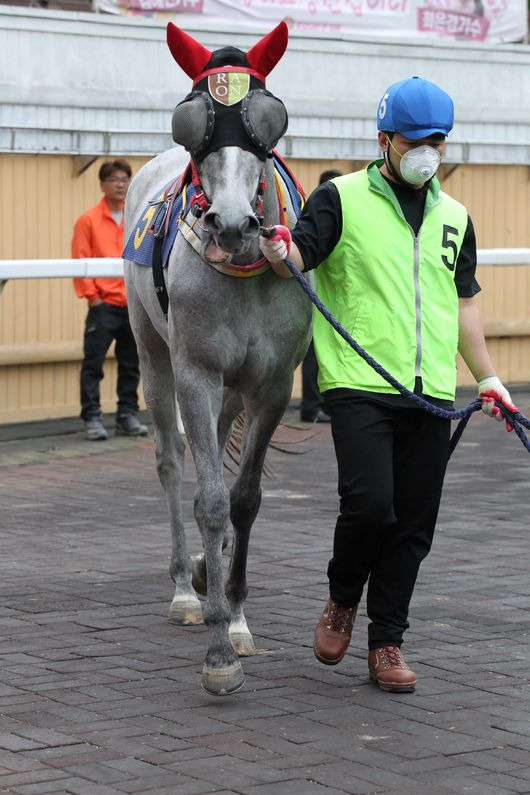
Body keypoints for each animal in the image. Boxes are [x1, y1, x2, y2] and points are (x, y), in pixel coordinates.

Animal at [122, 21, 310, 696]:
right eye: (190, 122)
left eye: (269, 117)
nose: (232, 224)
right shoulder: (196, 373)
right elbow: (208, 496)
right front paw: (218, 650)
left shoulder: (273, 382)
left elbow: (244, 497)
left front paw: (237, 617)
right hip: (154, 355)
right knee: (172, 461)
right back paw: (186, 584)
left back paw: (210, 574)